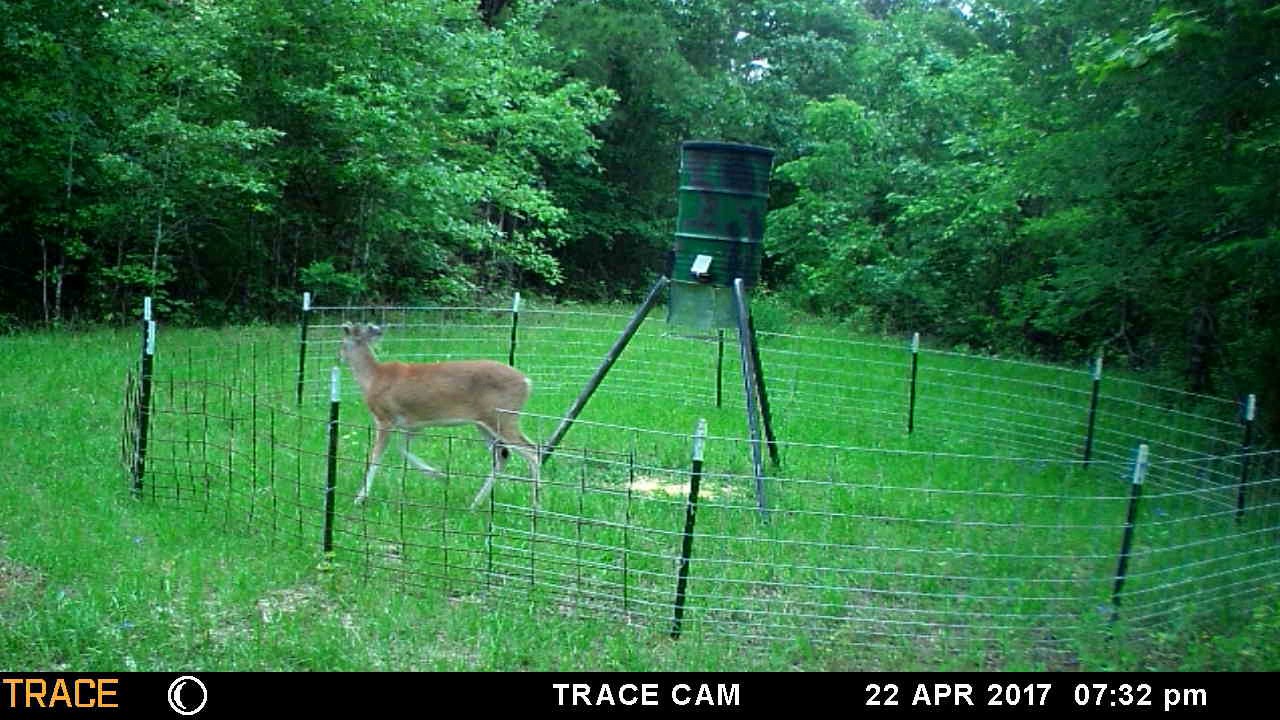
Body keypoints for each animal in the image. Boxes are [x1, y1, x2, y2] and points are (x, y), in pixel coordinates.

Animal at [337, 322, 541, 509]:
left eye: (342, 341)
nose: (338, 357)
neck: (373, 379)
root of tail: (527, 381)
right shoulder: (413, 425)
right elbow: (403, 450)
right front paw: (440, 475)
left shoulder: (384, 417)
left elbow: (375, 457)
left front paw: (359, 498)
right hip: (484, 422)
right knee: (503, 455)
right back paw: (474, 504)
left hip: (503, 416)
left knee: (532, 451)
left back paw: (536, 505)